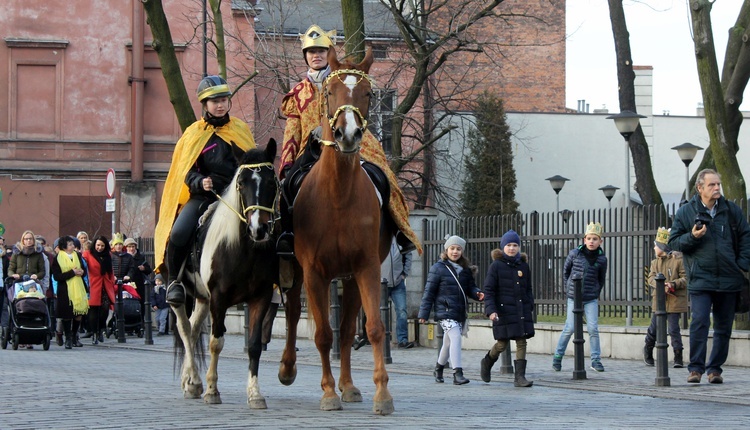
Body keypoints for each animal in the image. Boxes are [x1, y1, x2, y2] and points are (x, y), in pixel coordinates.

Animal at [280, 48, 396, 414]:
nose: (349, 134)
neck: (338, 196)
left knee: (346, 330)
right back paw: (288, 368)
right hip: (296, 270)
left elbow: (371, 328)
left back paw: (349, 385)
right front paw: (328, 393)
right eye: (330, 93)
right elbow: (321, 334)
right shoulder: (314, 272)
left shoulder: (366, 268)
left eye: (369, 93)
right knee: (292, 313)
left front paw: (381, 393)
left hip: (349, 278)